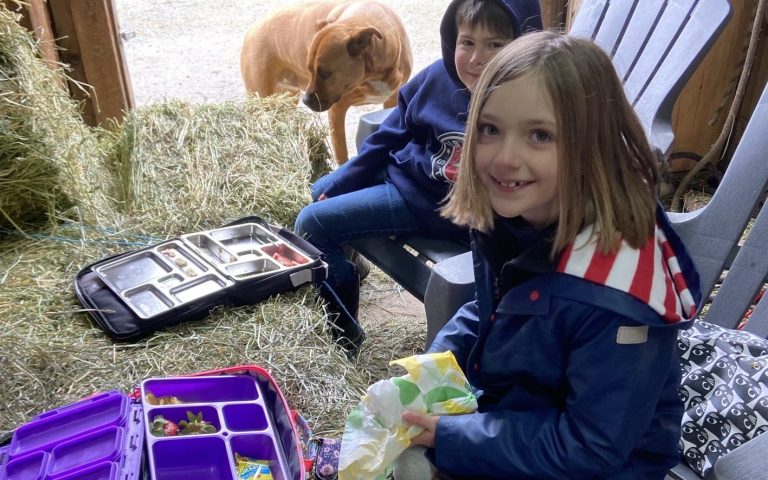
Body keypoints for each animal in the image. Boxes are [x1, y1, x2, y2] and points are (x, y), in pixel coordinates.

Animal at [242, 0, 412, 163]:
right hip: (260, 97)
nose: (306, 100)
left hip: (287, 98)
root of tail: (251, 30)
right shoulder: (337, 110)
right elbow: (341, 152)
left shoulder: (391, 100)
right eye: (309, 69)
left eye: (324, 73)